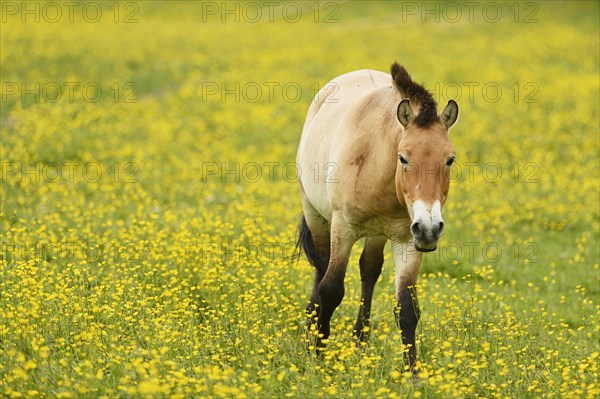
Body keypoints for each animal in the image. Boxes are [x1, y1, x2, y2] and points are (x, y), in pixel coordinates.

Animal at [296, 62, 460, 372]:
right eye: (403, 158)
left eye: (449, 160)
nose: (430, 229)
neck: (375, 160)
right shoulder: (343, 228)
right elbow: (331, 290)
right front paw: (319, 356)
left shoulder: (408, 240)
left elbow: (407, 308)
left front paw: (412, 373)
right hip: (316, 215)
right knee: (321, 267)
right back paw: (312, 326)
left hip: (378, 234)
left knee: (369, 269)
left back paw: (360, 341)